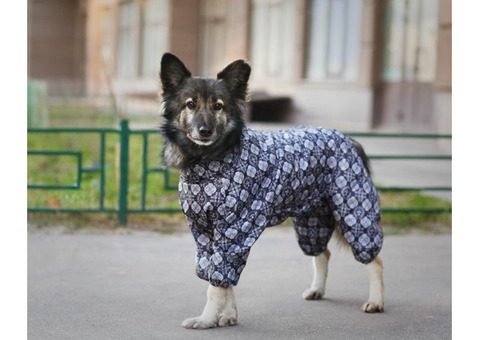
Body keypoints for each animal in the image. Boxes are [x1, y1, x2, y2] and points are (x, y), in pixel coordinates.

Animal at [159, 53, 384, 330]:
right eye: (190, 104)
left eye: (218, 106)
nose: (205, 131)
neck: (211, 161)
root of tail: (348, 139)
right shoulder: (205, 233)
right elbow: (224, 280)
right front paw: (229, 315)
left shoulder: (234, 231)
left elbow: (216, 284)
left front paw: (207, 318)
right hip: (312, 220)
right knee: (322, 252)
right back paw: (317, 290)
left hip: (353, 212)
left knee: (374, 259)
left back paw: (376, 301)